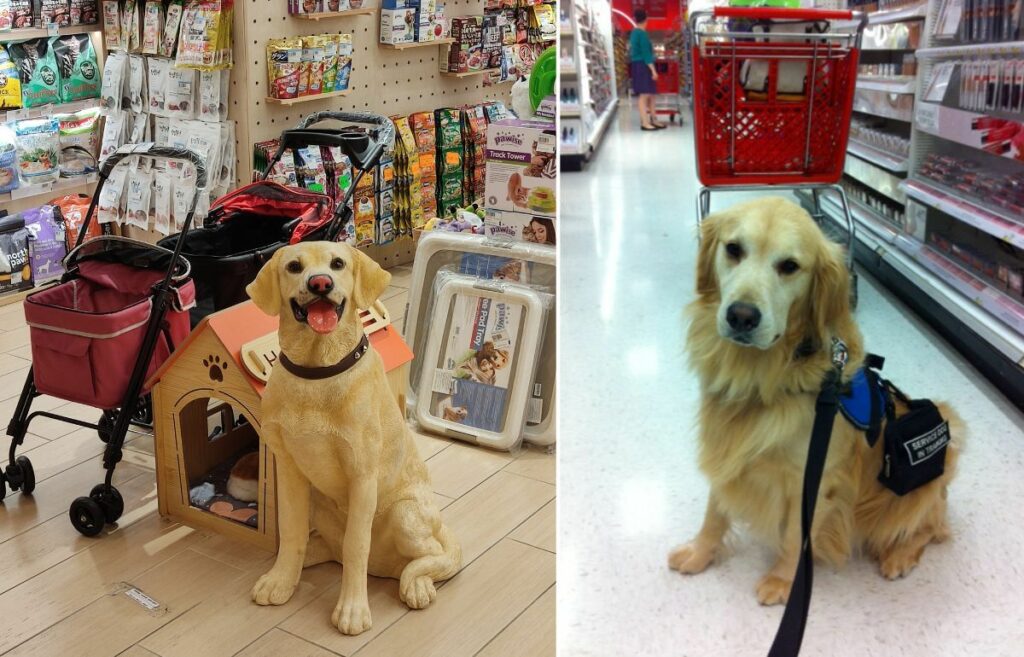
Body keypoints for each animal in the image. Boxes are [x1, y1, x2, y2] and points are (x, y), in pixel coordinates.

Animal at [245, 241, 462, 634]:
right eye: (294, 266)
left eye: (337, 263)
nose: (319, 284)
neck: (317, 372)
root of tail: (384, 568)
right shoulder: (289, 470)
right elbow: (292, 532)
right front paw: (281, 580)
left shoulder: (362, 476)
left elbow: (356, 544)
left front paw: (352, 609)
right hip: (320, 502)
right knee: (328, 549)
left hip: (407, 513)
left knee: (431, 557)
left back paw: (417, 583)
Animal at [667, 198, 962, 605]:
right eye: (733, 249)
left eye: (790, 266)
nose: (741, 316)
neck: (765, 374)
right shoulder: (728, 448)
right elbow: (715, 512)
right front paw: (699, 554)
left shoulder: (813, 478)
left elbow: (795, 537)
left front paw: (781, 583)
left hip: (927, 484)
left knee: (931, 529)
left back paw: (899, 556)